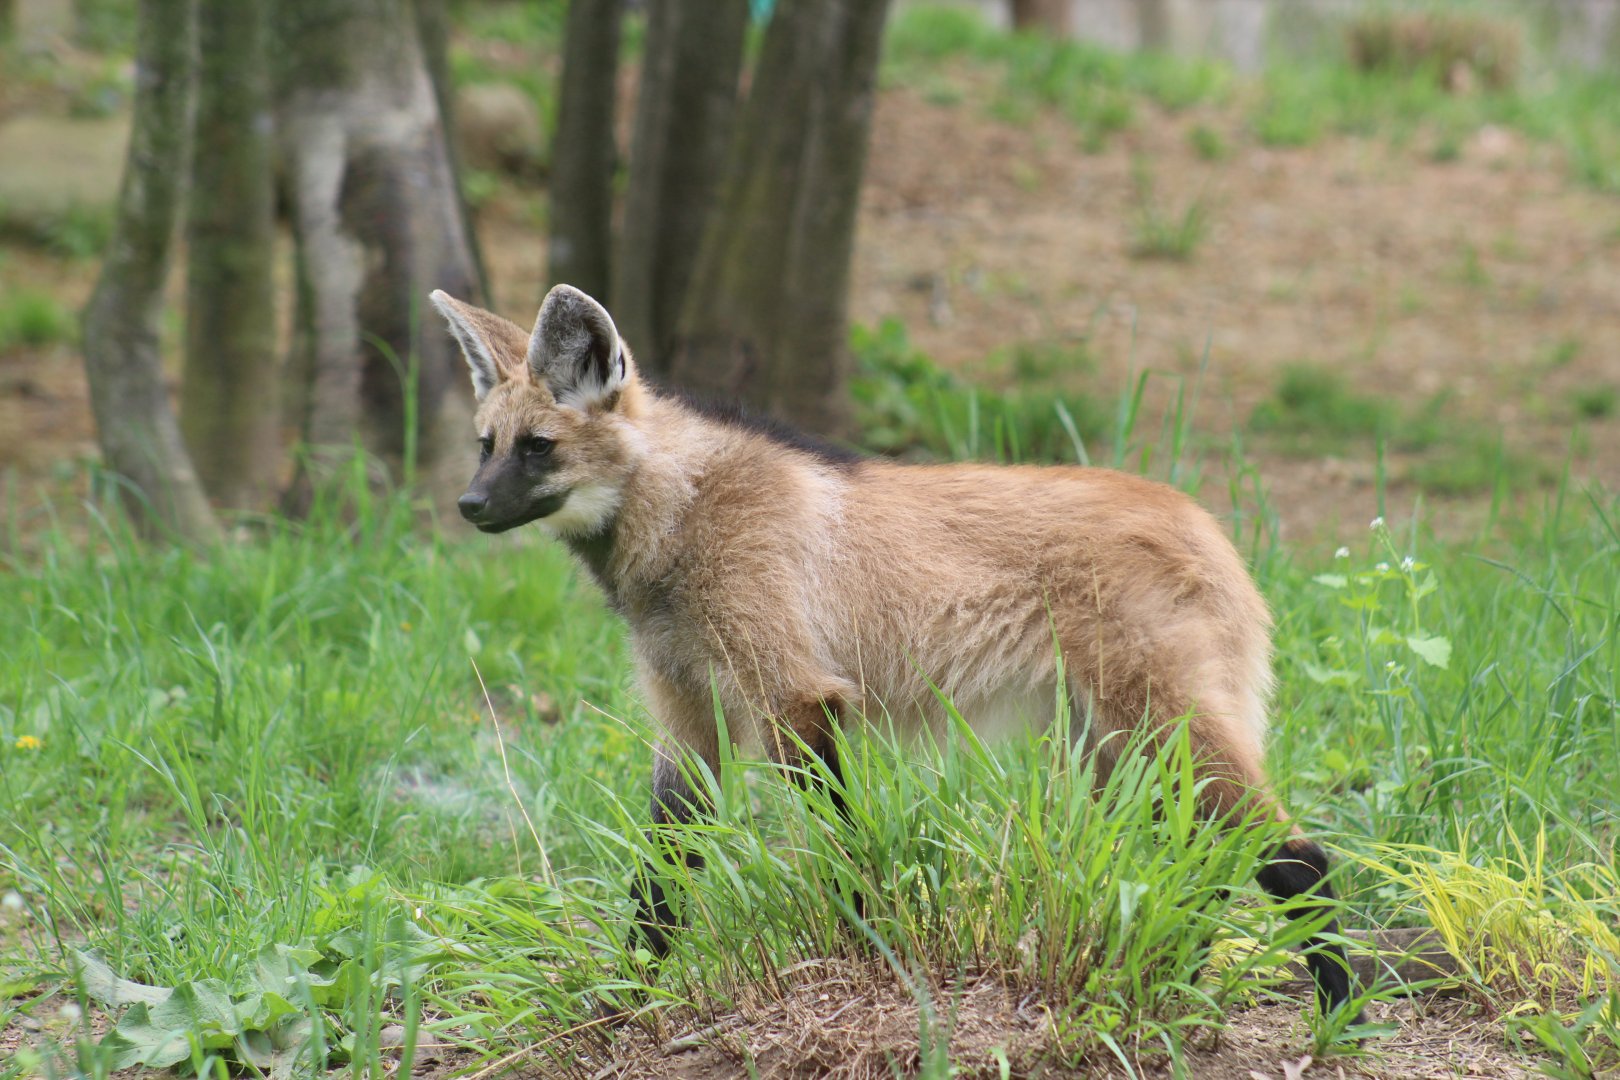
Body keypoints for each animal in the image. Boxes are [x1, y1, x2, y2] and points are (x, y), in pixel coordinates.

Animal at [430, 283, 1361, 1017]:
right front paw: (625, 999)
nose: (469, 507)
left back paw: (1338, 1016)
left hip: (1155, 729)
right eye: (485, 444)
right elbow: (660, 880)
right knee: (1204, 863)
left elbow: (848, 856)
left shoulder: (797, 697)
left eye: (538, 448)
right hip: (1112, 749)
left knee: (1297, 858)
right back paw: (1167, 977)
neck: (678, 514)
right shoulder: (690, 720)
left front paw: (867, 957)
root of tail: (1206, 522)